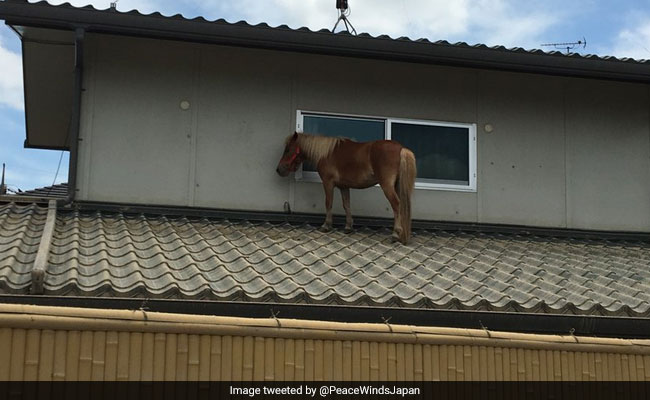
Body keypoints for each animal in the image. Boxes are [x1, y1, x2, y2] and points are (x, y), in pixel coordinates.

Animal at [276, 132, 417, 244]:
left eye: (288, 149)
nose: (279, 170)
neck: (327, 153)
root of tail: (401, 148)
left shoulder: (328, 183)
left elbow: (328, 203)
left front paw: (326, 225)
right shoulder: (344, 187)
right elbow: (346, 205)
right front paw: (348, 227)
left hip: (387, 186)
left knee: (397, 205)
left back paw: (395, 234)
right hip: (397, 185)